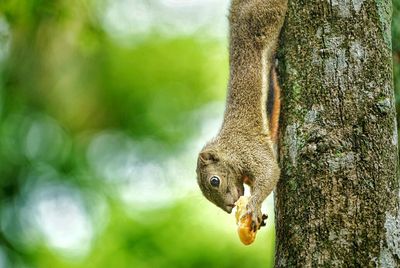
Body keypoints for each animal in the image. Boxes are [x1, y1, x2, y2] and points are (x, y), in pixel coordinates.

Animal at [195, 0, 286, 230]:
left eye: (214, 181)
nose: (229, 207)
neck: (228, 147)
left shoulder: (248, 149)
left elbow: (269, 172)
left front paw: (253, 205)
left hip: (261, 16)